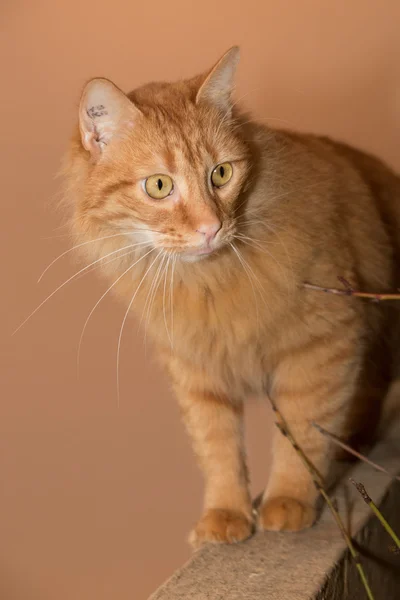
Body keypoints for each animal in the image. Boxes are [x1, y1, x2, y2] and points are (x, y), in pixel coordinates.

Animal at [63, 48, 400, 548]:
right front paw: (225, 513)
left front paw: (290, 500)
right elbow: (217, 447)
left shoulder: (323, 344)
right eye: (159, 186)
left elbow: (303, 431)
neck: (207, 282)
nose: (211, 228)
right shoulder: (195, 370)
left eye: (221, 174)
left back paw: (353, 445)